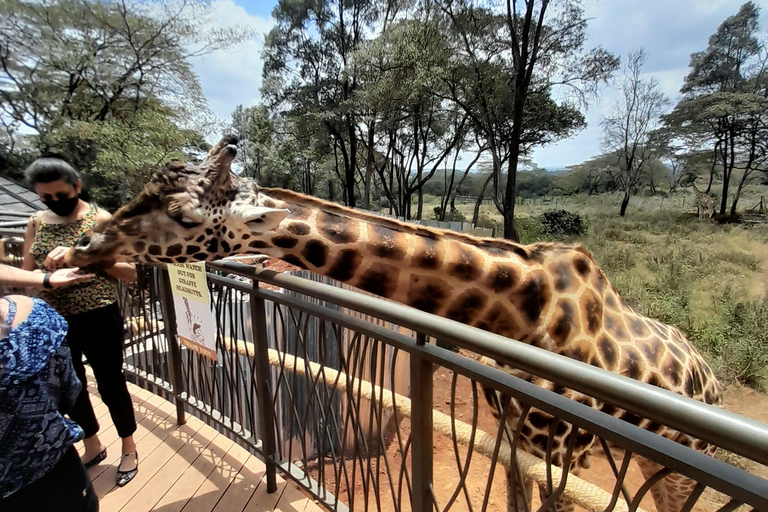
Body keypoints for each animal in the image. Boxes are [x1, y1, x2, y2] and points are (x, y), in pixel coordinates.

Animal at [64, 136, 720, 512]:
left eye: (179, 214)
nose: (85, 243)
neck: (523, 313)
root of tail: (710, 381)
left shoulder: (562, 451)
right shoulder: (518, 443)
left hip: (679, 464)